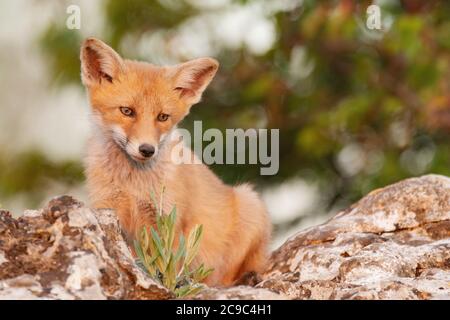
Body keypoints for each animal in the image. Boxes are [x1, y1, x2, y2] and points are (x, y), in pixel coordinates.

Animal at [79, 37, 270, 284]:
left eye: (162, 117)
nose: (147, 149)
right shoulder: (108, 210)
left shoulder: (167, 221)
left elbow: (165, 267)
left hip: (249, 204)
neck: (133, 185)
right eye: (127, 111)